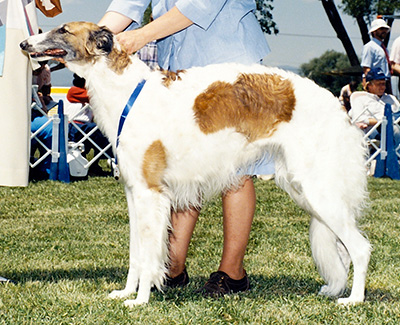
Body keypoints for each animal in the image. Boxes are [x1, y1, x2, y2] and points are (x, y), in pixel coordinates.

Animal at [21, 21, 372, 306]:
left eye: (63, 29)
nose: (24, 43)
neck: (128, 92)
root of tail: (337, 104)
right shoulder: (134, 192)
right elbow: (136, 254)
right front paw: (125, 293)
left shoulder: (151, 193)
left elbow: (149, 254)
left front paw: (140, 300)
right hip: (308, 190)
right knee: (342, 247)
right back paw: (337, 289)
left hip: (316, 187)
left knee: (360, 247)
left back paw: (353, 300)